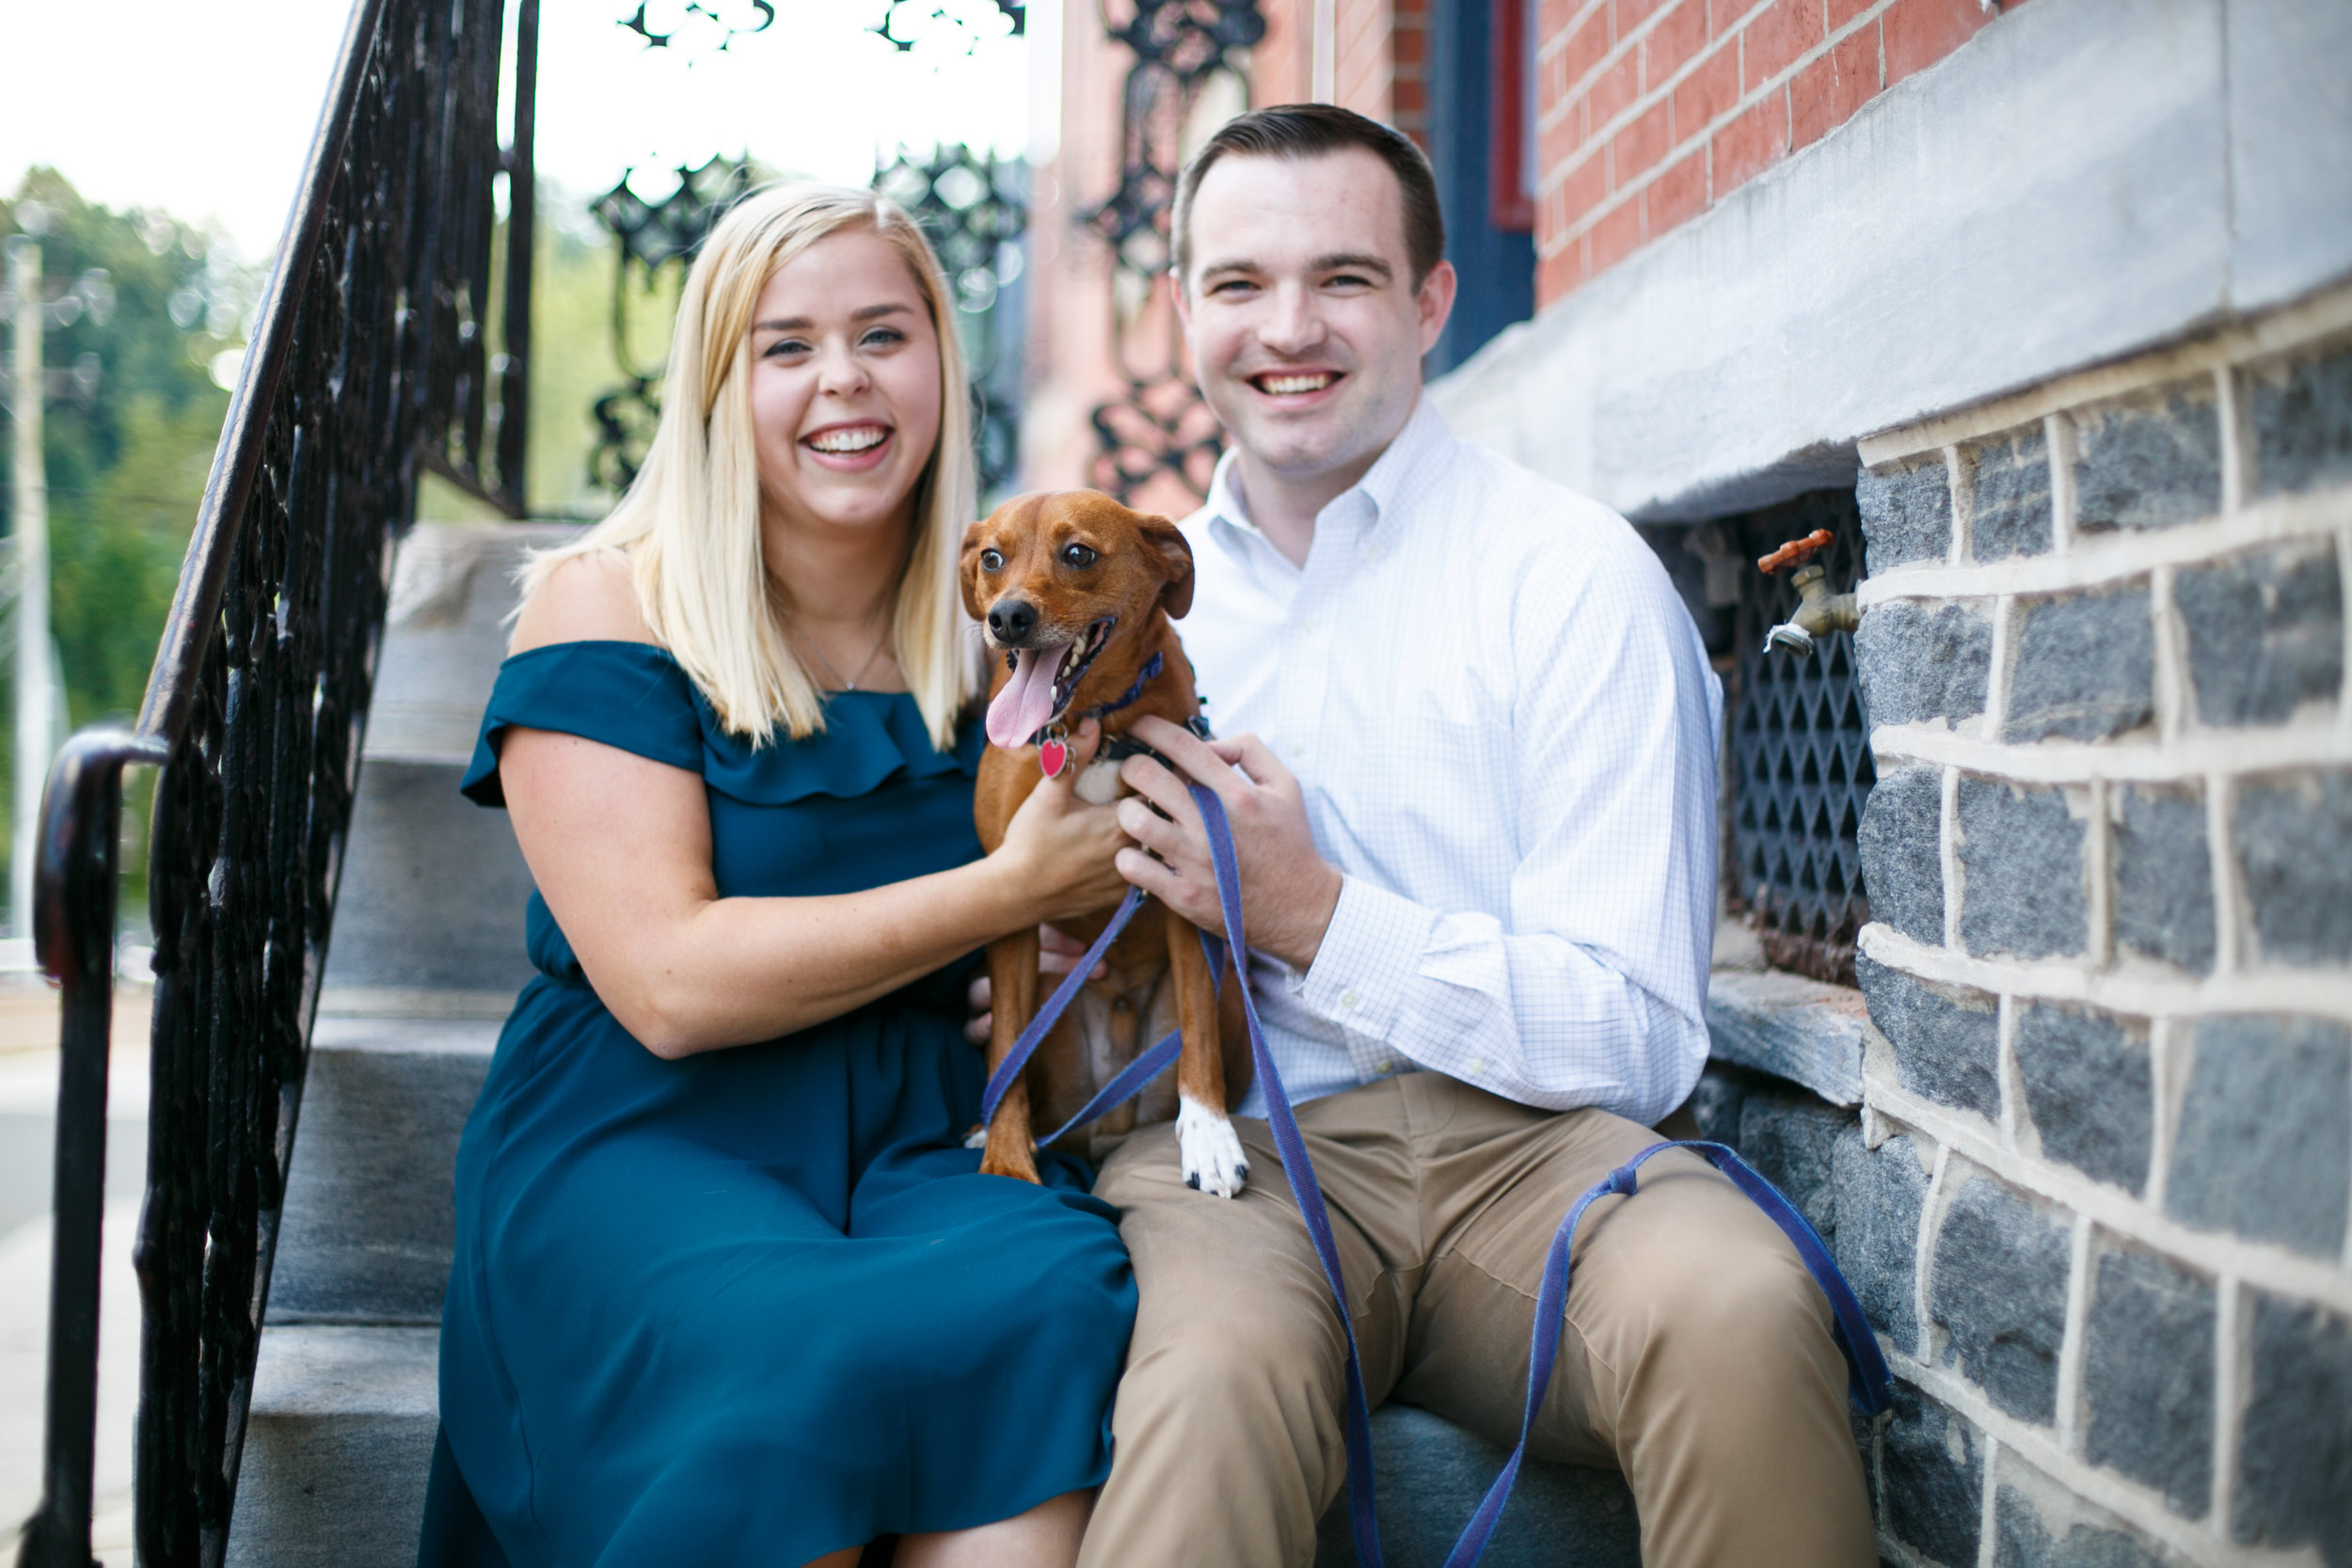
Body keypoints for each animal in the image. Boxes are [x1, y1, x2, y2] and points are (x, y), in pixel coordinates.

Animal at [955, 483, 1251, 1194]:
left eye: (1078, 554)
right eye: (992, 557)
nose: (1007, 617)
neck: (1093, 724)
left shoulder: (1182, 876)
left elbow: (1197, 1027)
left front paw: (1209, 1135)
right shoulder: (1012, 897)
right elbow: (1007, 1041)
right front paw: (1006, 1157)